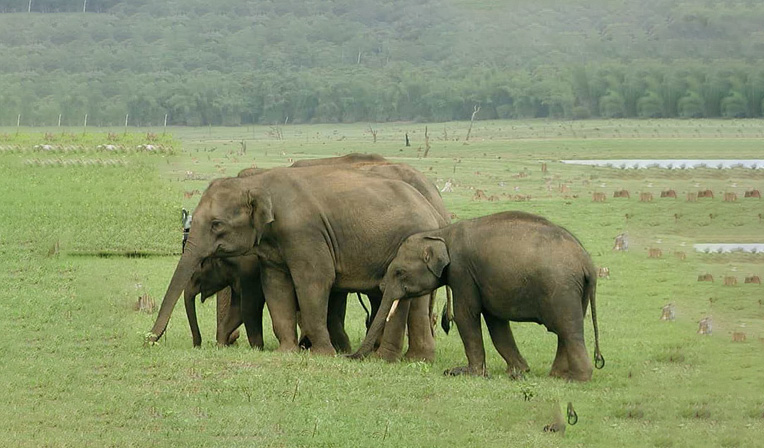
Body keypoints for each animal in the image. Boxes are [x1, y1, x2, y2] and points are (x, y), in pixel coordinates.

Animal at [356, 210, 604, 382]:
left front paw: (465, 372)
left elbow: (466, 315)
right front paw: (519, 370)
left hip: (562, 288)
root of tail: (588, 263)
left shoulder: (462, 271)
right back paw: (557, 376)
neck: (441, 233)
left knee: (568, 330)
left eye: (399, 272)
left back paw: (577, 379)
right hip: (575, 291)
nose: (351, 356)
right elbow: (496, 322)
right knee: (564, 331)